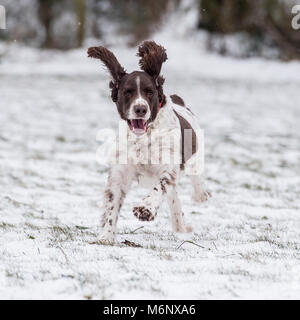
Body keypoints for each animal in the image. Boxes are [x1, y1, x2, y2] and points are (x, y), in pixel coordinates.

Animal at [88, 41, 210, 244]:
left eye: (150, 92)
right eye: (127, 92)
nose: (140, 109)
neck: (143, 137)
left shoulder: (168, 165)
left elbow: (161, 185)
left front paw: (145, 209)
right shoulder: (120, 172)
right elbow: (112, 203)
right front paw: (106, 235)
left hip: (195, 157)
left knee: (196, 179)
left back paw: (200, 196)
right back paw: (180, 226)